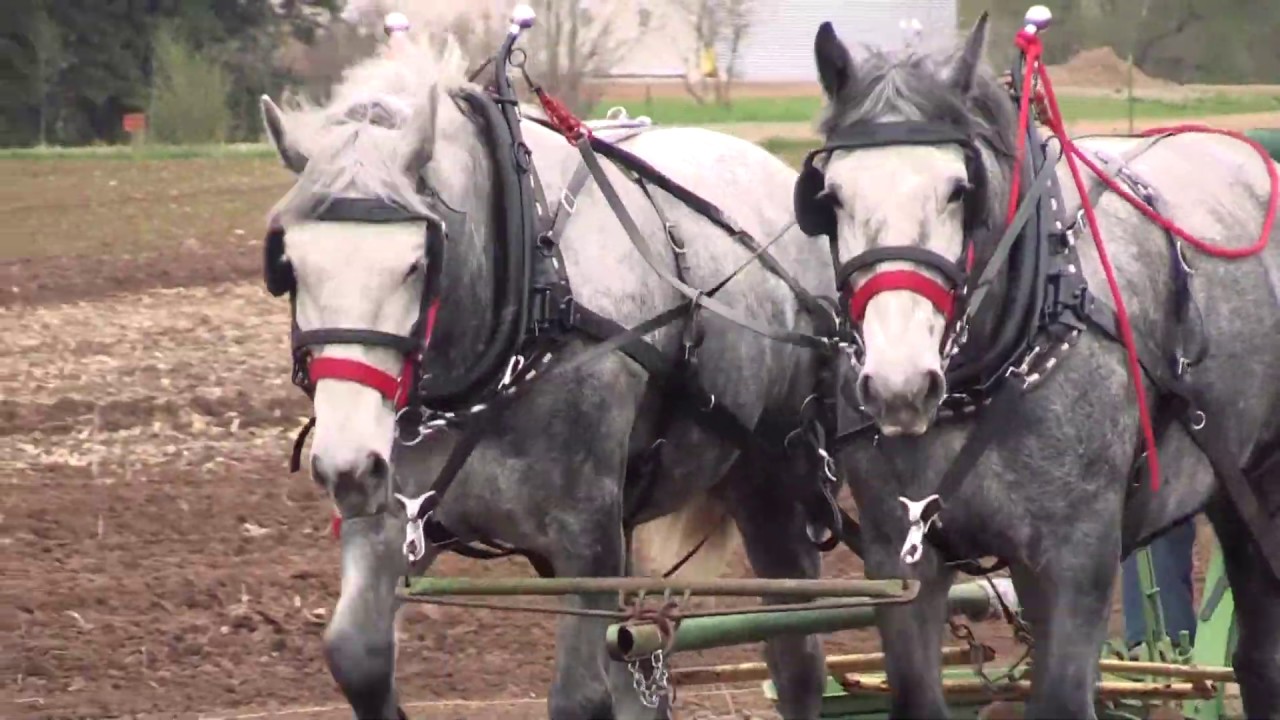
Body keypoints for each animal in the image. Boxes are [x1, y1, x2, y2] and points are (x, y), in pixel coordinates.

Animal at [256, 32, 841, 720]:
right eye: (288, 264)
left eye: (416, 263)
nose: (346, 468)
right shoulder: (398, 516)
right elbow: (357, 656)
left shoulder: (586, 537)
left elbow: (579, 696)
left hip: (775, 483)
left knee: (797, 655)